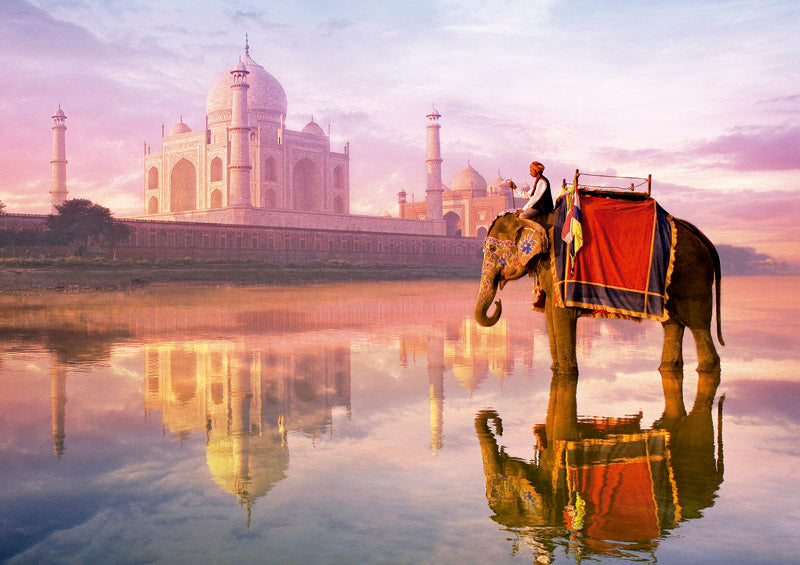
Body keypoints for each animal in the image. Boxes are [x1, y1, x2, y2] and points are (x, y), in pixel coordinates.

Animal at [474, 208, 723, 426]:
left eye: (493, 249)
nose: (498, 303)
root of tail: (702, 237)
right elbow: (550, 314)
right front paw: (555, 370)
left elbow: (561, 314)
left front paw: (565, 375)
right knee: (671, 323)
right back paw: (667, 369)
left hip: (692, 273)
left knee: (698, 324)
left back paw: (706, 369)